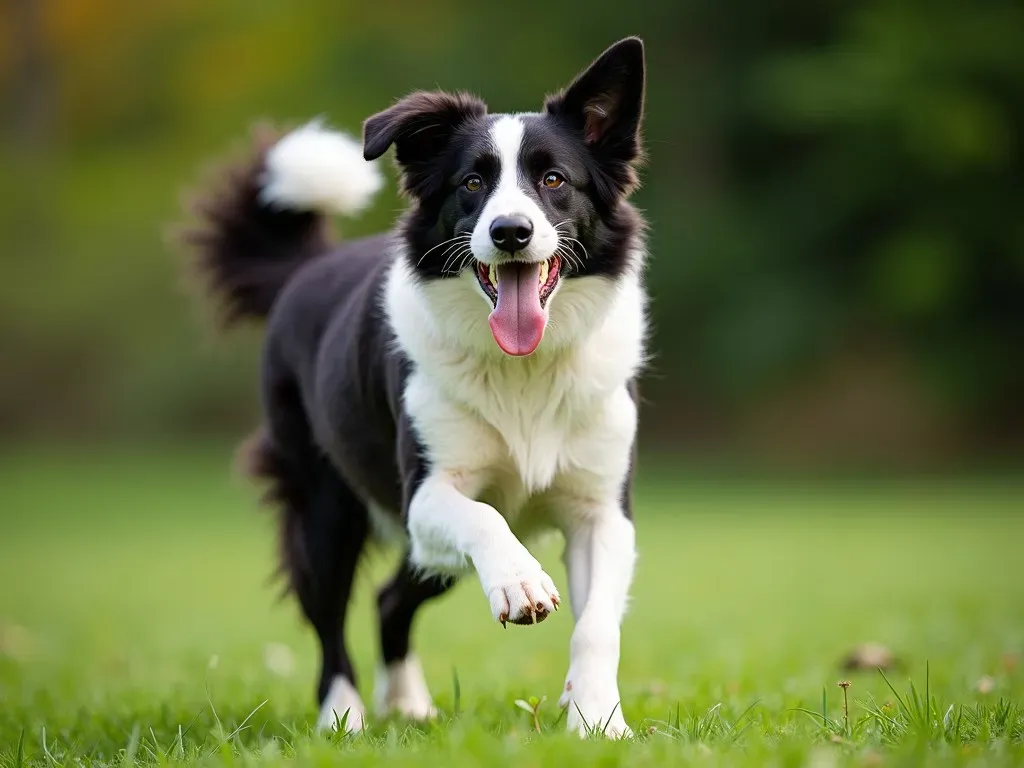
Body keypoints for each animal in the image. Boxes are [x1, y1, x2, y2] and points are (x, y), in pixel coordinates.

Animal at [178, 37, 647, 741]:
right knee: (330, 618)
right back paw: (342, 718)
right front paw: (520, 583)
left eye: (555, 180)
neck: (524, 371)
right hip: (325, 507)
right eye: (472, 183)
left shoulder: (603, 512)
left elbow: (597, 627)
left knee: (390, 597)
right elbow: (484, 517)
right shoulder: (421, 497)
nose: (511, 232)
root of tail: (305, 268)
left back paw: (408, 704)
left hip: (427, 563)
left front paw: (597, 720)